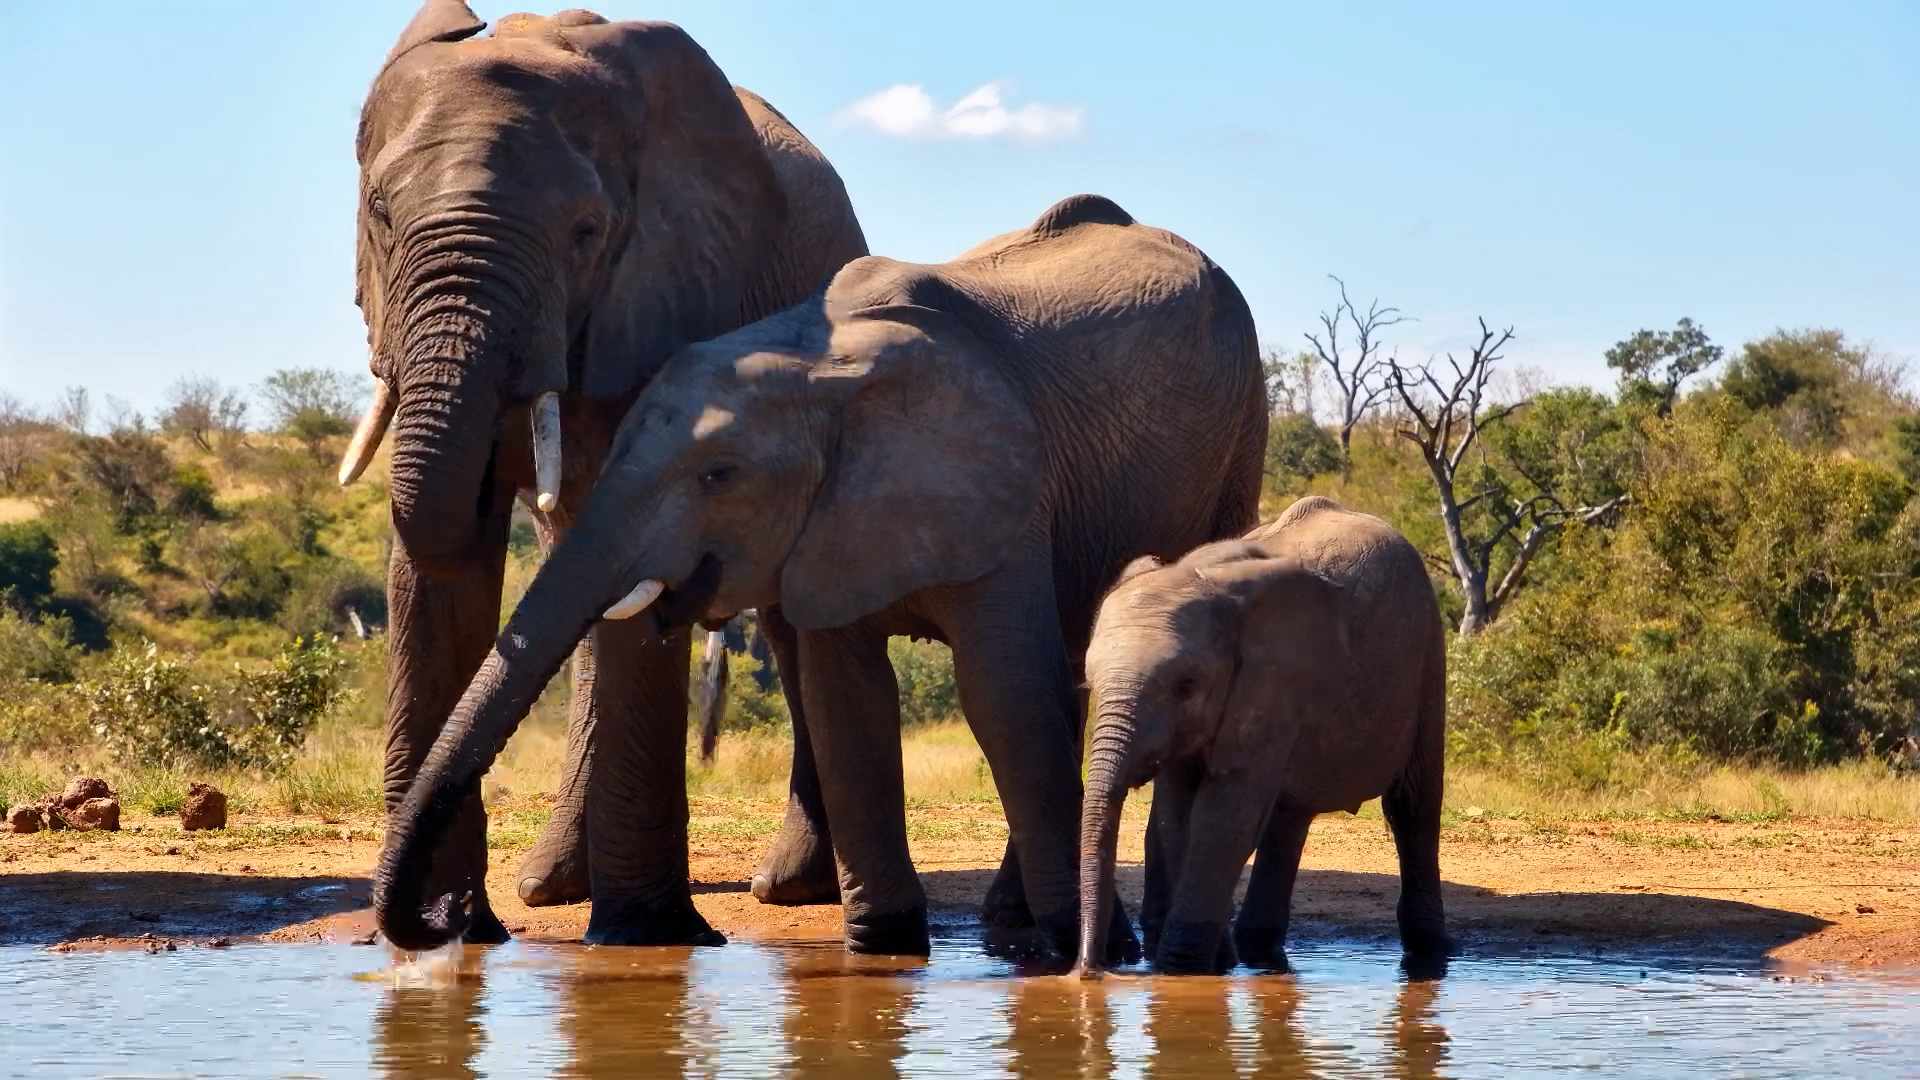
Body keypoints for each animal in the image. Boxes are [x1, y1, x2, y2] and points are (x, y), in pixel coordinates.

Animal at [343, 2, 867, 946]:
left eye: (586, 233)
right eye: (381, 213)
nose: (430, 920)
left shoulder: (665, 291)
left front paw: (644, 936)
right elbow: (451, 552)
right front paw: (457, 929)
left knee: (785, 614)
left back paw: (789, 888)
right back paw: (551, 886)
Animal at [374, 193, 1267, 957]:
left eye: (719, 475)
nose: (445, 920)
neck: (822, 365)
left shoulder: (1004, 486)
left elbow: (1003, 692)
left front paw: (1093, 953)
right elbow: (849, 697)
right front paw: (884, 948)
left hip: (1241, 434)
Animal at [1075, 495, 1452, 974]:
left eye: (1186, 685)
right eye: (1090, 682)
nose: (1089, 970)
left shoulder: (1271, 682)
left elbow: (1225, 816)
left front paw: (1180, 970)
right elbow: (1179, 816)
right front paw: (1216, 965)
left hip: (1427, 657)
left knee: (1412, 805)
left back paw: (1431, 953)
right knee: (1288, 817)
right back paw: (1256, 952)